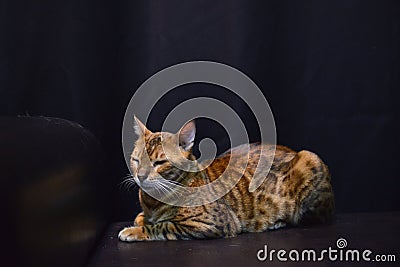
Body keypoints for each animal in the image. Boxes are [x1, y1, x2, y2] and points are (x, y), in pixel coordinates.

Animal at [118, 117, 334, 243]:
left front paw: (134, 231)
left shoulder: (211, 223)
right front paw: (141, 220)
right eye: (136, 160)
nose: (140, 176)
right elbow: (142, 217)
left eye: (160, 162)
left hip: (310, 159)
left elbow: (162, 225)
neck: (152, 201)